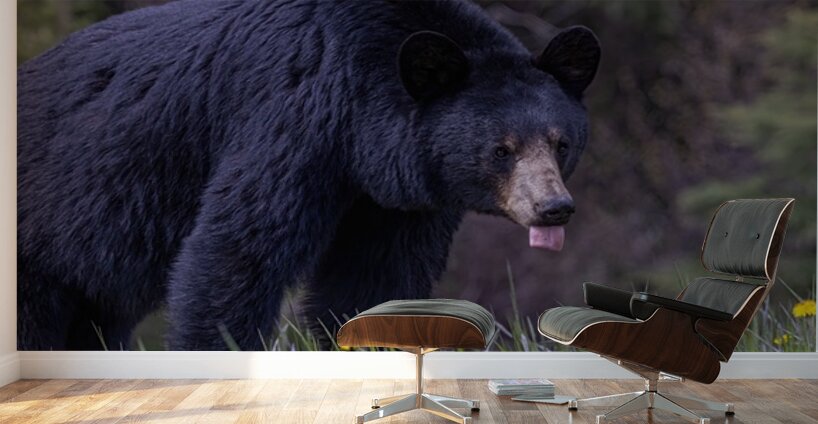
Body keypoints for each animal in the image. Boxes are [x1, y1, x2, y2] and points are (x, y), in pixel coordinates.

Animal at [17, 0, 600, 351]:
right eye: (501, 150)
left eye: (561, 143)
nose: (554, 207)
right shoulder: (291, 120)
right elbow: (238, 248)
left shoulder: (394, 197)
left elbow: (374, 277)